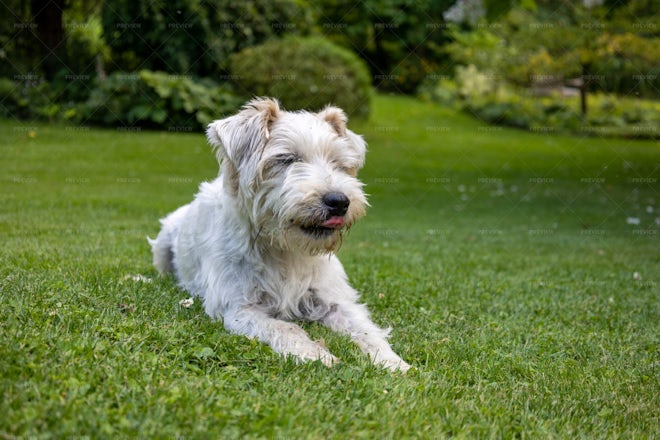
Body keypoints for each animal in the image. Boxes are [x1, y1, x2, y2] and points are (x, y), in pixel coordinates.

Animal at [148, 99, 412, 372]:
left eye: (339, 163)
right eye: (287, 159)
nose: (339, 202)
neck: (285, 249)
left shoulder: (334, 300)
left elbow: (366, 330)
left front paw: (392, 362)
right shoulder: (238, 307)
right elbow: (286, 327)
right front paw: (316, 354)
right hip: (163, 243)